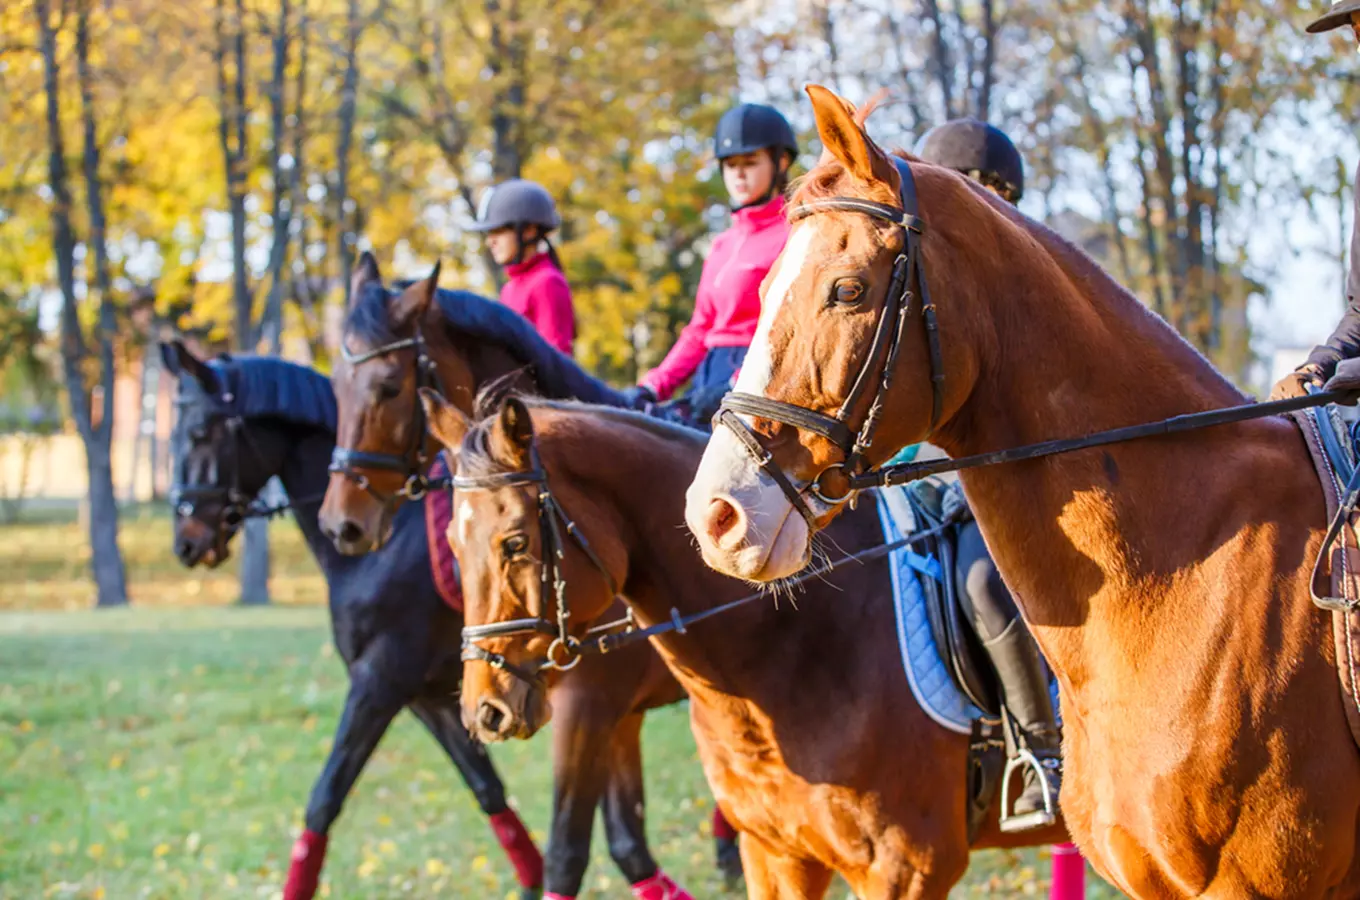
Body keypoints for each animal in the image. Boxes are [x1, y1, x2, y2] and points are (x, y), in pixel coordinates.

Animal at [168, 345, 546, 900]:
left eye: (198, 433)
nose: (186, 543)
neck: (387, 542)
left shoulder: (379, 680)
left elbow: (325, 797)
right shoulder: (430, 697)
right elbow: (488, 789)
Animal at [312, 255, 734, 900]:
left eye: (388, 387)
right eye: (334, 386)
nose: (343, 523)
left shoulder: (588, 707)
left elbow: (572, 849)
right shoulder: (606, 712)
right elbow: (624, 841)